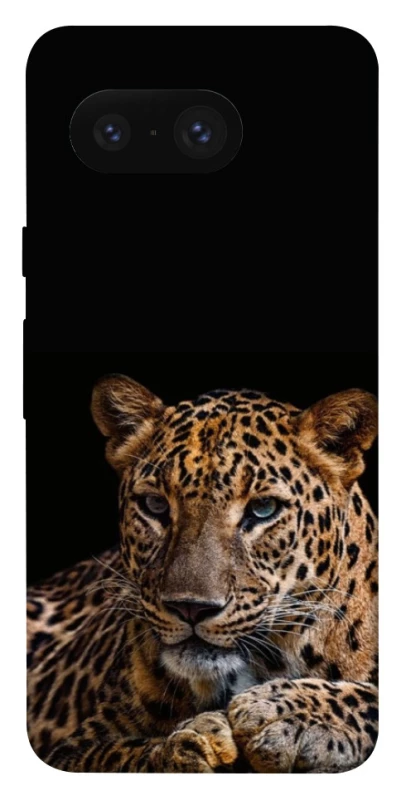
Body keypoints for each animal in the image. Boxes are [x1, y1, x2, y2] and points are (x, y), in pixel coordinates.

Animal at [27, 374, 378, 773]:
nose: (191, 608)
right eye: (155, 505)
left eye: (263, 509)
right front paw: (192, 745)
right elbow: (127, 756)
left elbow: (371, 698)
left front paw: (285, 713)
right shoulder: (74, 749)